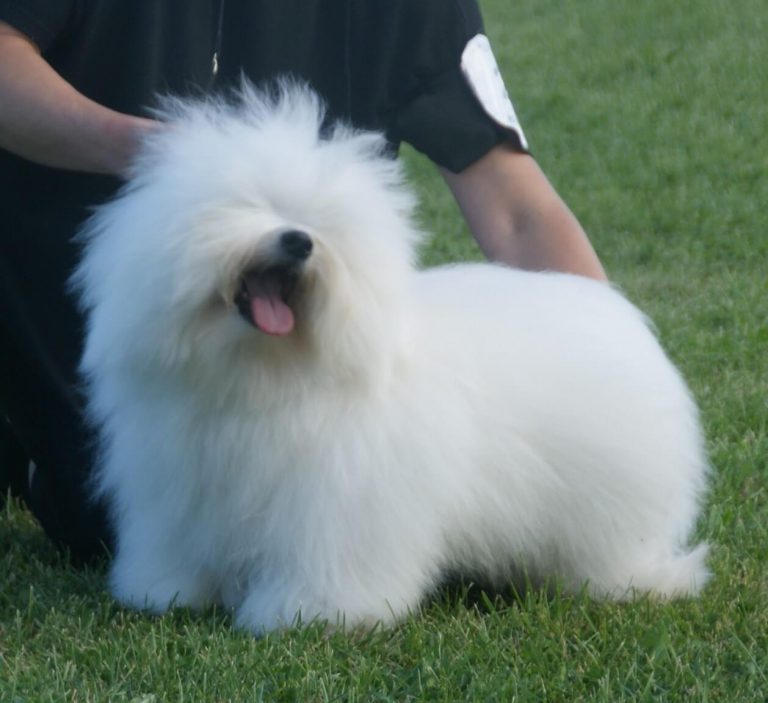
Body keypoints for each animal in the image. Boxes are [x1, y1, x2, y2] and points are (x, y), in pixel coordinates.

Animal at [75, 82, 712, 632]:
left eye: (323, 226)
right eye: (247, 205)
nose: (299, 240)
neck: (260, 375)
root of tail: (612, 309)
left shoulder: (338, 502)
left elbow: (329, 561)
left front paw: (311, 614)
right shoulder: (174, 490)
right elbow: (179, 548)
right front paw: (167, 592)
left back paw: (642, 581)